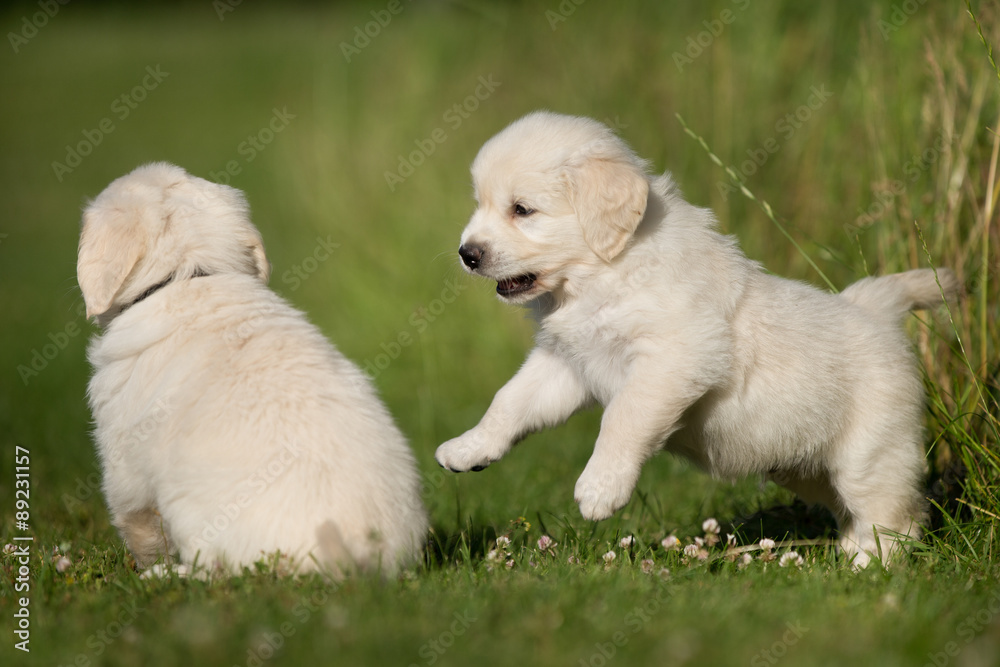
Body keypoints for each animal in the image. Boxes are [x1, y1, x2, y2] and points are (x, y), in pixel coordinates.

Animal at [438, 111, 960, 568]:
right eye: (481, 204)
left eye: (522, 210)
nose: (467, 253)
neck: (603, 273)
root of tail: (874, 310)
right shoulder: (566, 364)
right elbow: (509, 401)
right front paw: (469, 448)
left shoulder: (673, 357)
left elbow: (622, 418)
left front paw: (600, 488)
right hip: (804, 467)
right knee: (853, 511)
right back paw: (851, 555)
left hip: (870, 453)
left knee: (895, 515)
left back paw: (868, 567)